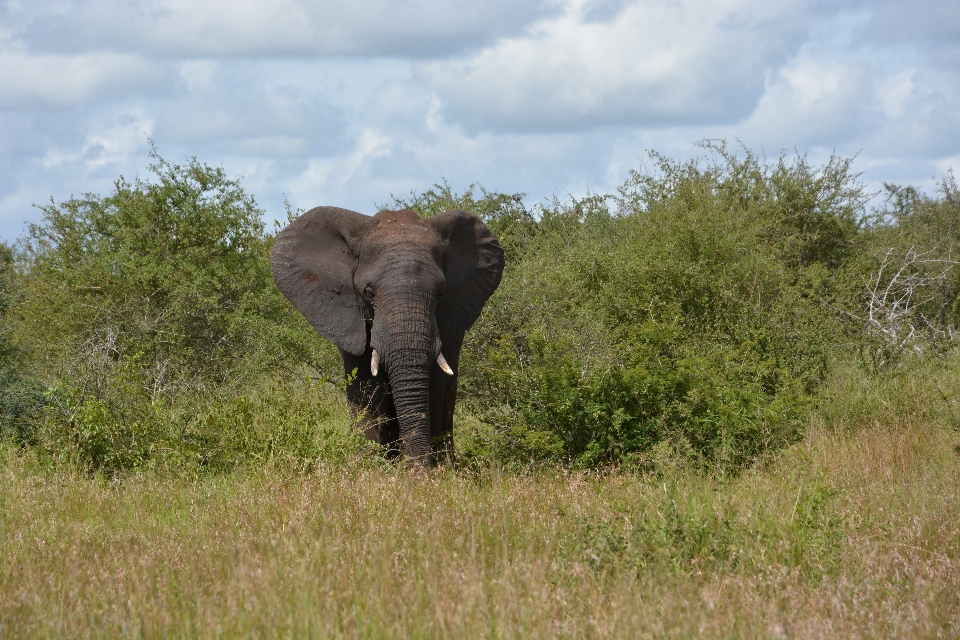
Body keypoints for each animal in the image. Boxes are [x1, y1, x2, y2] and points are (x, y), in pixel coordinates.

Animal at [270, 209, 502, 464]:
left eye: (441, 293)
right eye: (368, 293)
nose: (416, 469)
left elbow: (438, 381)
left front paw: (438, 468)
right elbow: (364, 379)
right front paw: (370, 464)